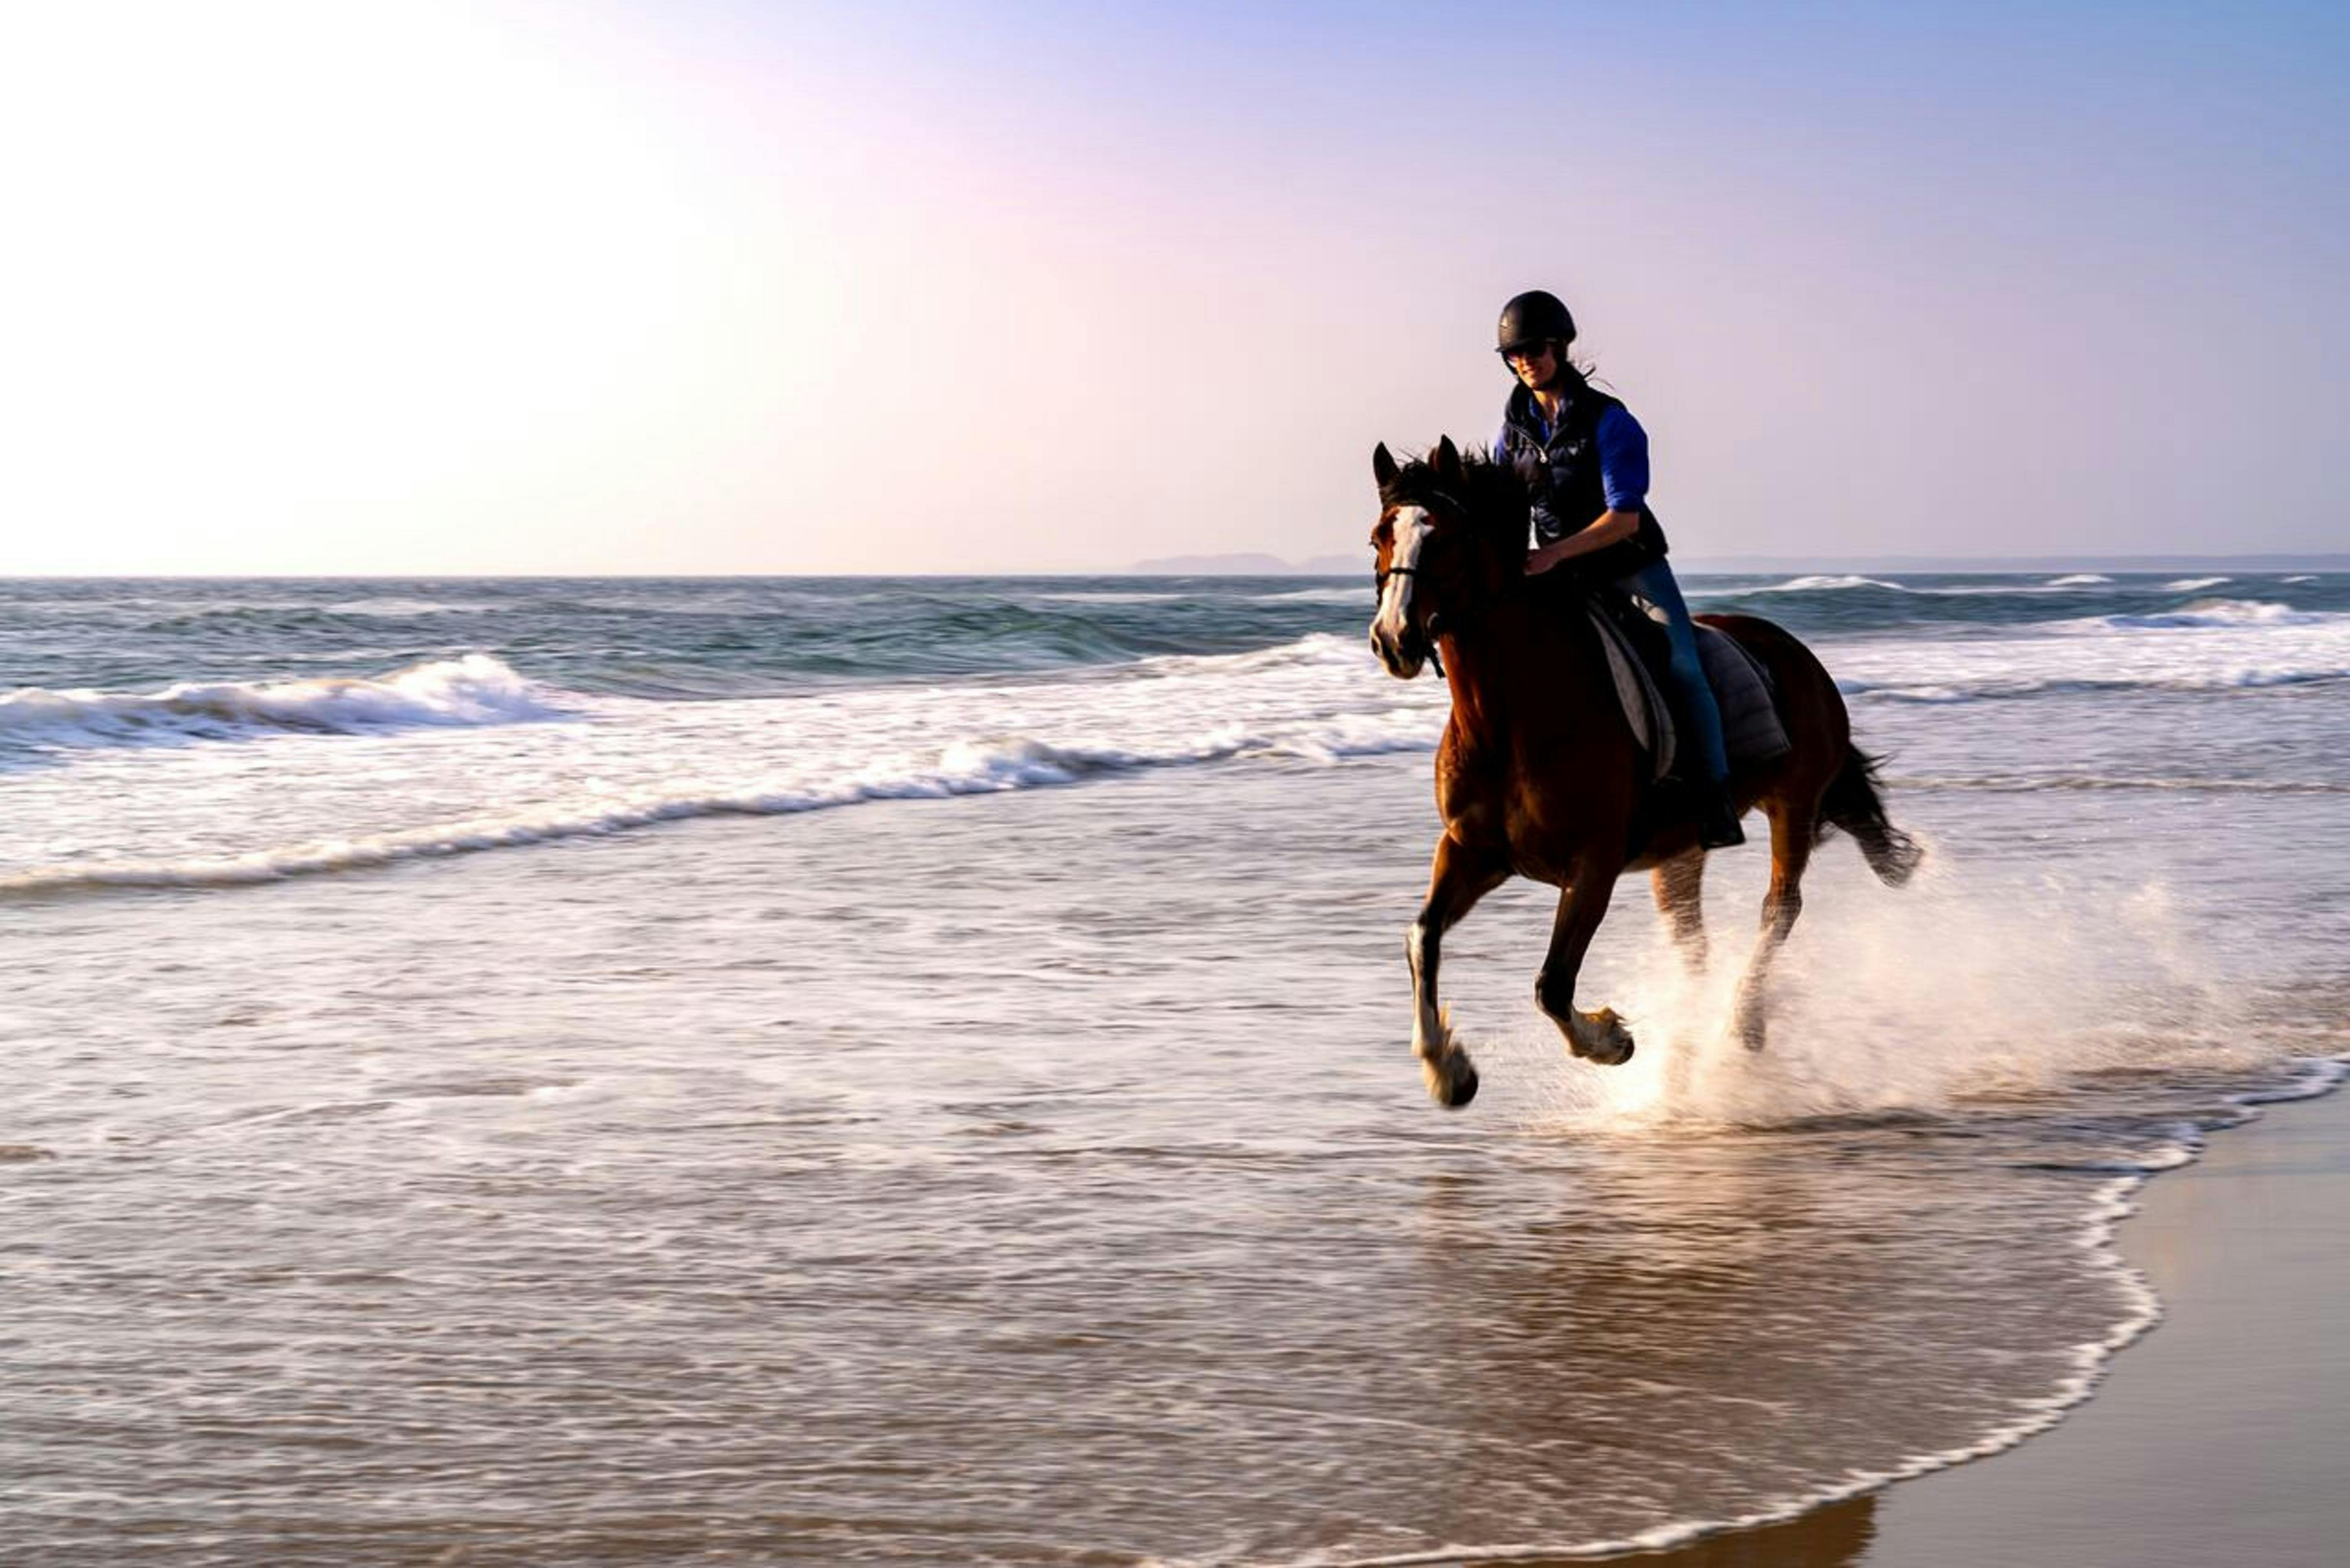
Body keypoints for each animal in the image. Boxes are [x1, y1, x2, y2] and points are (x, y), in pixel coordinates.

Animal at [1367, 437, 1921, 1109]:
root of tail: (1798, 655)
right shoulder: (1472, 851)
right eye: (1378, 538)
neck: (1511, 717)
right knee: (1694, 944)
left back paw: (1744, 1023)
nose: (1393, 640)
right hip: (1681, 851)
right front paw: (1449, 1071)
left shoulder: (1592, 865)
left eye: (1442, 538)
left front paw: (1611, 1041)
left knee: (1779, 908)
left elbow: (1552, 982)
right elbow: (1422, 938)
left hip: (1794, 804)